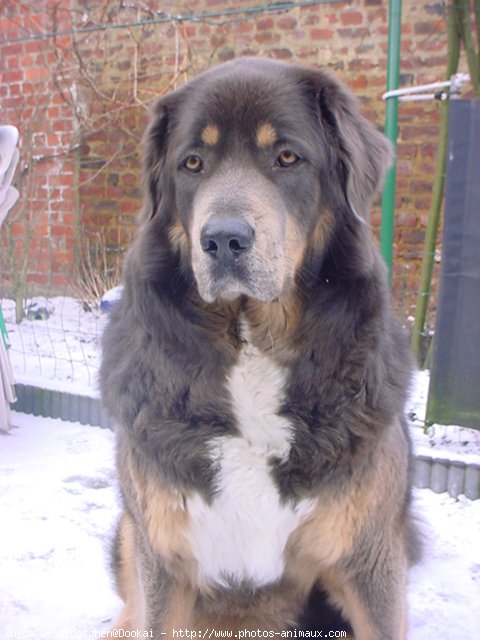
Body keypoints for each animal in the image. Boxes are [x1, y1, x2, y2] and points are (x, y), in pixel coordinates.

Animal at [100, 57, 416, 636]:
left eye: (287, 156)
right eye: (193, 163)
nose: (224, 240)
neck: (252, 346)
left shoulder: (370, 561)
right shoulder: (163, 557)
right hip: (130, 533)